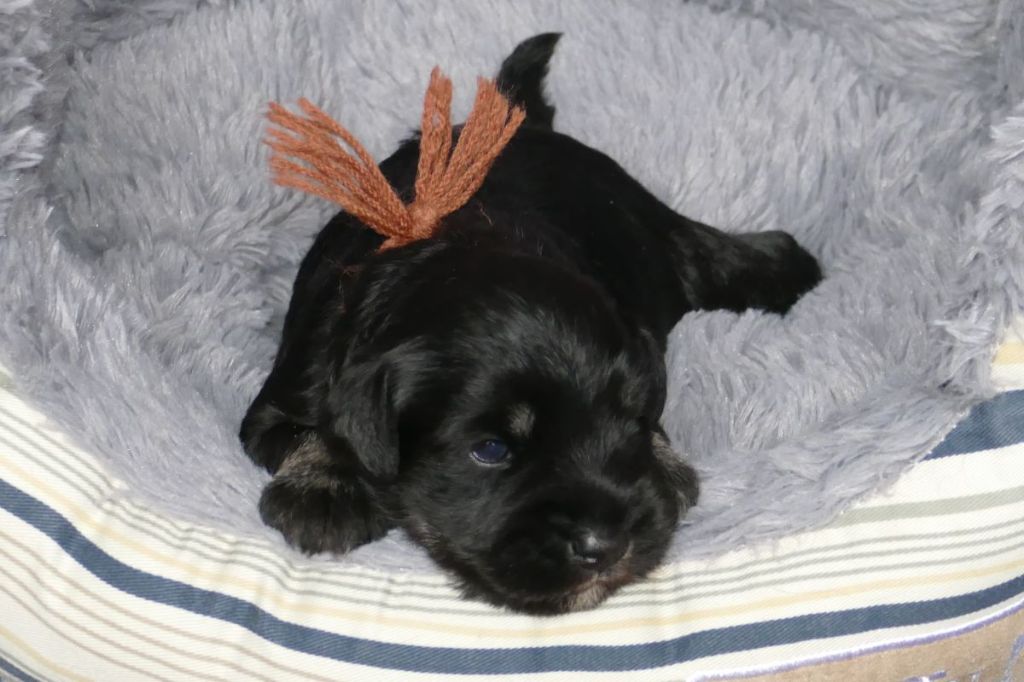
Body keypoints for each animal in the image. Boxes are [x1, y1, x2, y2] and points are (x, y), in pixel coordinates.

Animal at [240, 33, 822, 615]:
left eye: (630, 421)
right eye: (491, 451)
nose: (606, 546)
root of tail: (524, 125)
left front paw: (664, 467)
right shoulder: (288, 393)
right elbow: (324, 430)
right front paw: (325, 489)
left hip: (651, 223)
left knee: (713, 251)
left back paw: (792, 268)